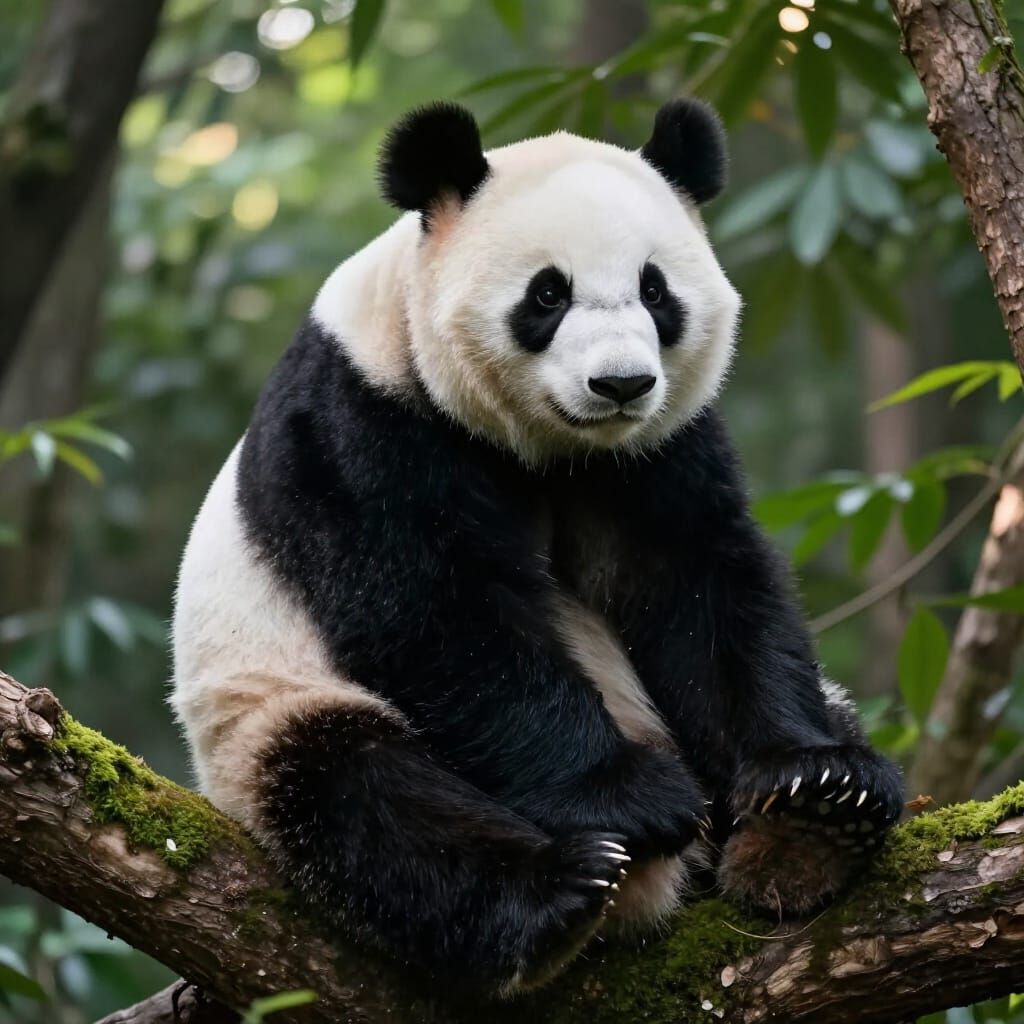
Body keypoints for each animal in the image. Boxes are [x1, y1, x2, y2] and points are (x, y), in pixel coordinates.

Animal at [171, 99, 903, 995]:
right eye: (548, 293)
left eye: (655, 290)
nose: (621, 384)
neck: (552, 446)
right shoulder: (363, 421)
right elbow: (440, 615)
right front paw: (631, 795)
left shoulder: (657, 449)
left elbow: (697, 586)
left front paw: (809, 782)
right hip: (261, 715)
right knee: (358, 794)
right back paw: (559, 893)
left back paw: (808, 839)